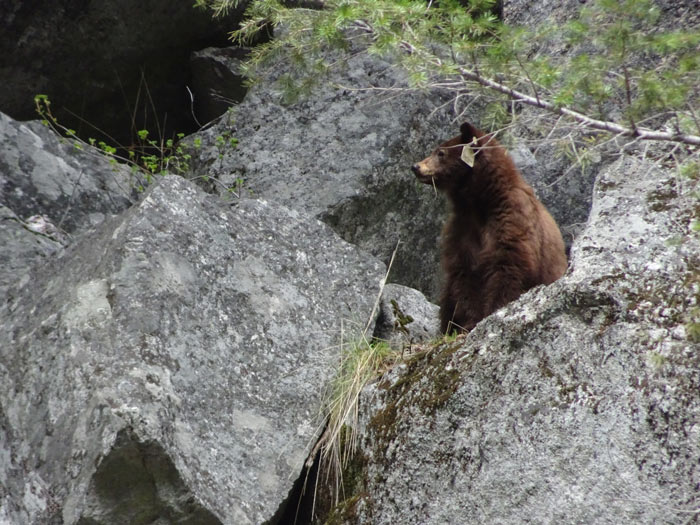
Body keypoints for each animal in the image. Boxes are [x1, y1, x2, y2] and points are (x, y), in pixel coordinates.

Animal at [412, 122, 567, 334]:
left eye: (441, 153)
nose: (416, 166)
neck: (480, 203)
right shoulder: (462, 228)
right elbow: (465, 273)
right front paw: (469, 323)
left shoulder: (512, 219)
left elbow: (508, 265)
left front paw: (493, 313)